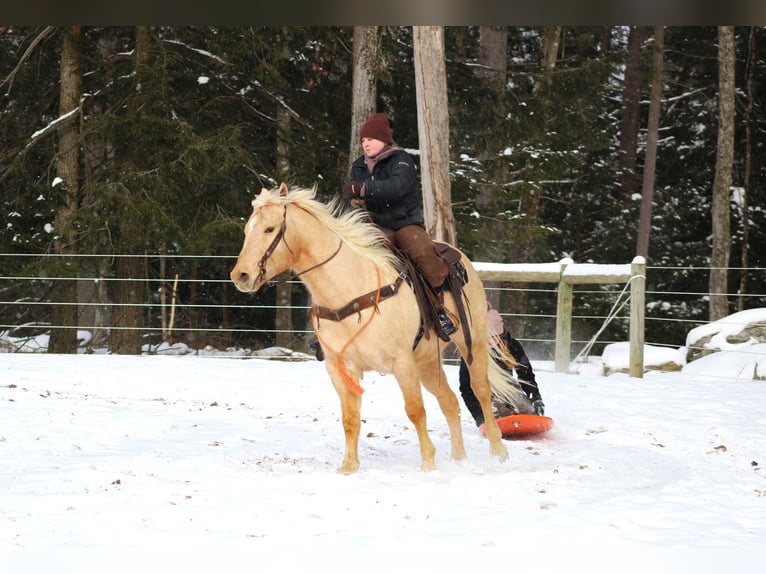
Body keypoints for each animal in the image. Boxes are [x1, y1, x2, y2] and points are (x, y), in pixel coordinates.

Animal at [231, 186, 532, 476]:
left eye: (270, 229)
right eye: (247, 230)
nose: (240, 276)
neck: (349, 290)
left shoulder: (402, 362)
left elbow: (415, 410)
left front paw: (427, 463)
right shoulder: (340, 367)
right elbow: (350, 418)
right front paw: (348, 467)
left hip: (472, 343)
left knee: (481, 390)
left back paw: (498, 451)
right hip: (427, 361)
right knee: (449, 401)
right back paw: (458, 459)